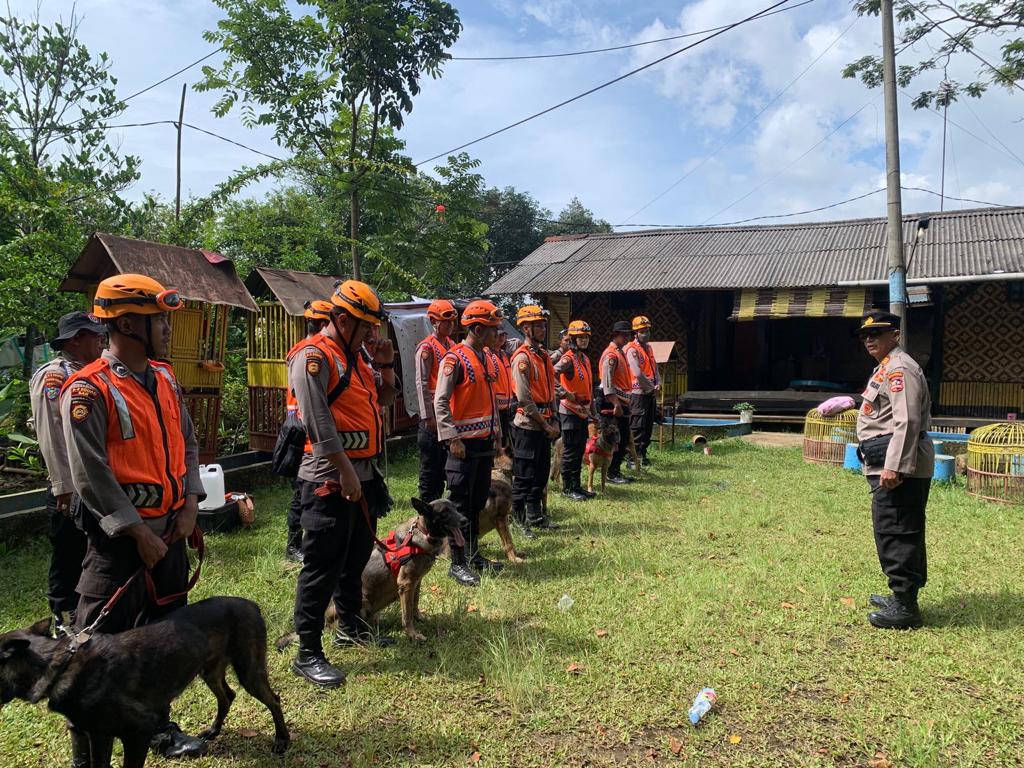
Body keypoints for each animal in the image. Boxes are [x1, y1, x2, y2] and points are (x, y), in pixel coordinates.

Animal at [1, 598, 288, 765]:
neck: (59, 664)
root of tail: (251, 605)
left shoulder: (138, 731)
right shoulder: (100, 736)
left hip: (249, 671)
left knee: (274, 700)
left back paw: (282, 740)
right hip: (210, 670)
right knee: (227, 696)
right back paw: (213, 731)